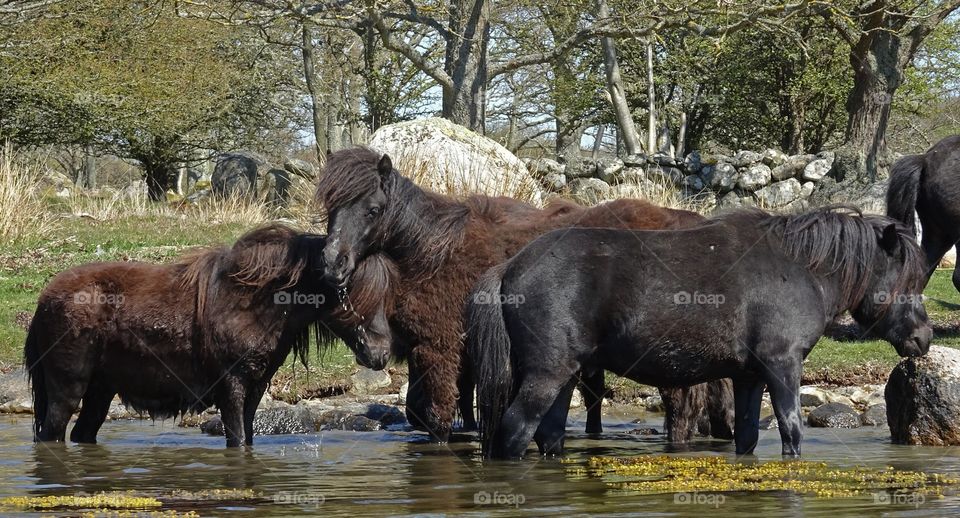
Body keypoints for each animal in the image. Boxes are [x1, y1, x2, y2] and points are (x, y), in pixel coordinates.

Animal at [26, 225, 396, 448]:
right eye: (355, 293)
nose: (381, 354)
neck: (256, 303)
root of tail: (44, 299)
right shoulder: (231, 386)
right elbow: (237, 440)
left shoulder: (255, 387)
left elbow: (247, 436)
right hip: (67, 389)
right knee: (52, 434)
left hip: (101, 389)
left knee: (82, 433)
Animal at [316, 148, 736, 444]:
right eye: (330, 208)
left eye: (373, 209)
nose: (333, 263)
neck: (433, 253)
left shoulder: (441, 348)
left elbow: (436, 418)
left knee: (682, 409)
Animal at [468, 207, 932, 460]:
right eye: (908, 279)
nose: (923, 338)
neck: (800, 269)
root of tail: (511, 266)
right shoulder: (782, 366)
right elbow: (791, 430)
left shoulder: (748, 377)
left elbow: (746, 436)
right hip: (546, 376)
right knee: (514, 433)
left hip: (565, 377)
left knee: (549, 435)